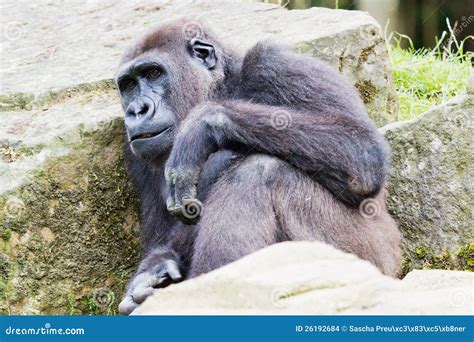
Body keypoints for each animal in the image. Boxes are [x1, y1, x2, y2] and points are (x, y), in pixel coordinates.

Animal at [115, 18, 400, 312]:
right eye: (128, 85)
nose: (137, 110)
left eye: (153, 73)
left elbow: (363, 151)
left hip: (367, 263)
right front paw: (151, 272)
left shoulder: (276, 64)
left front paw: (202, 125)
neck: (222, 86)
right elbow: (160, 241)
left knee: (259, 173)